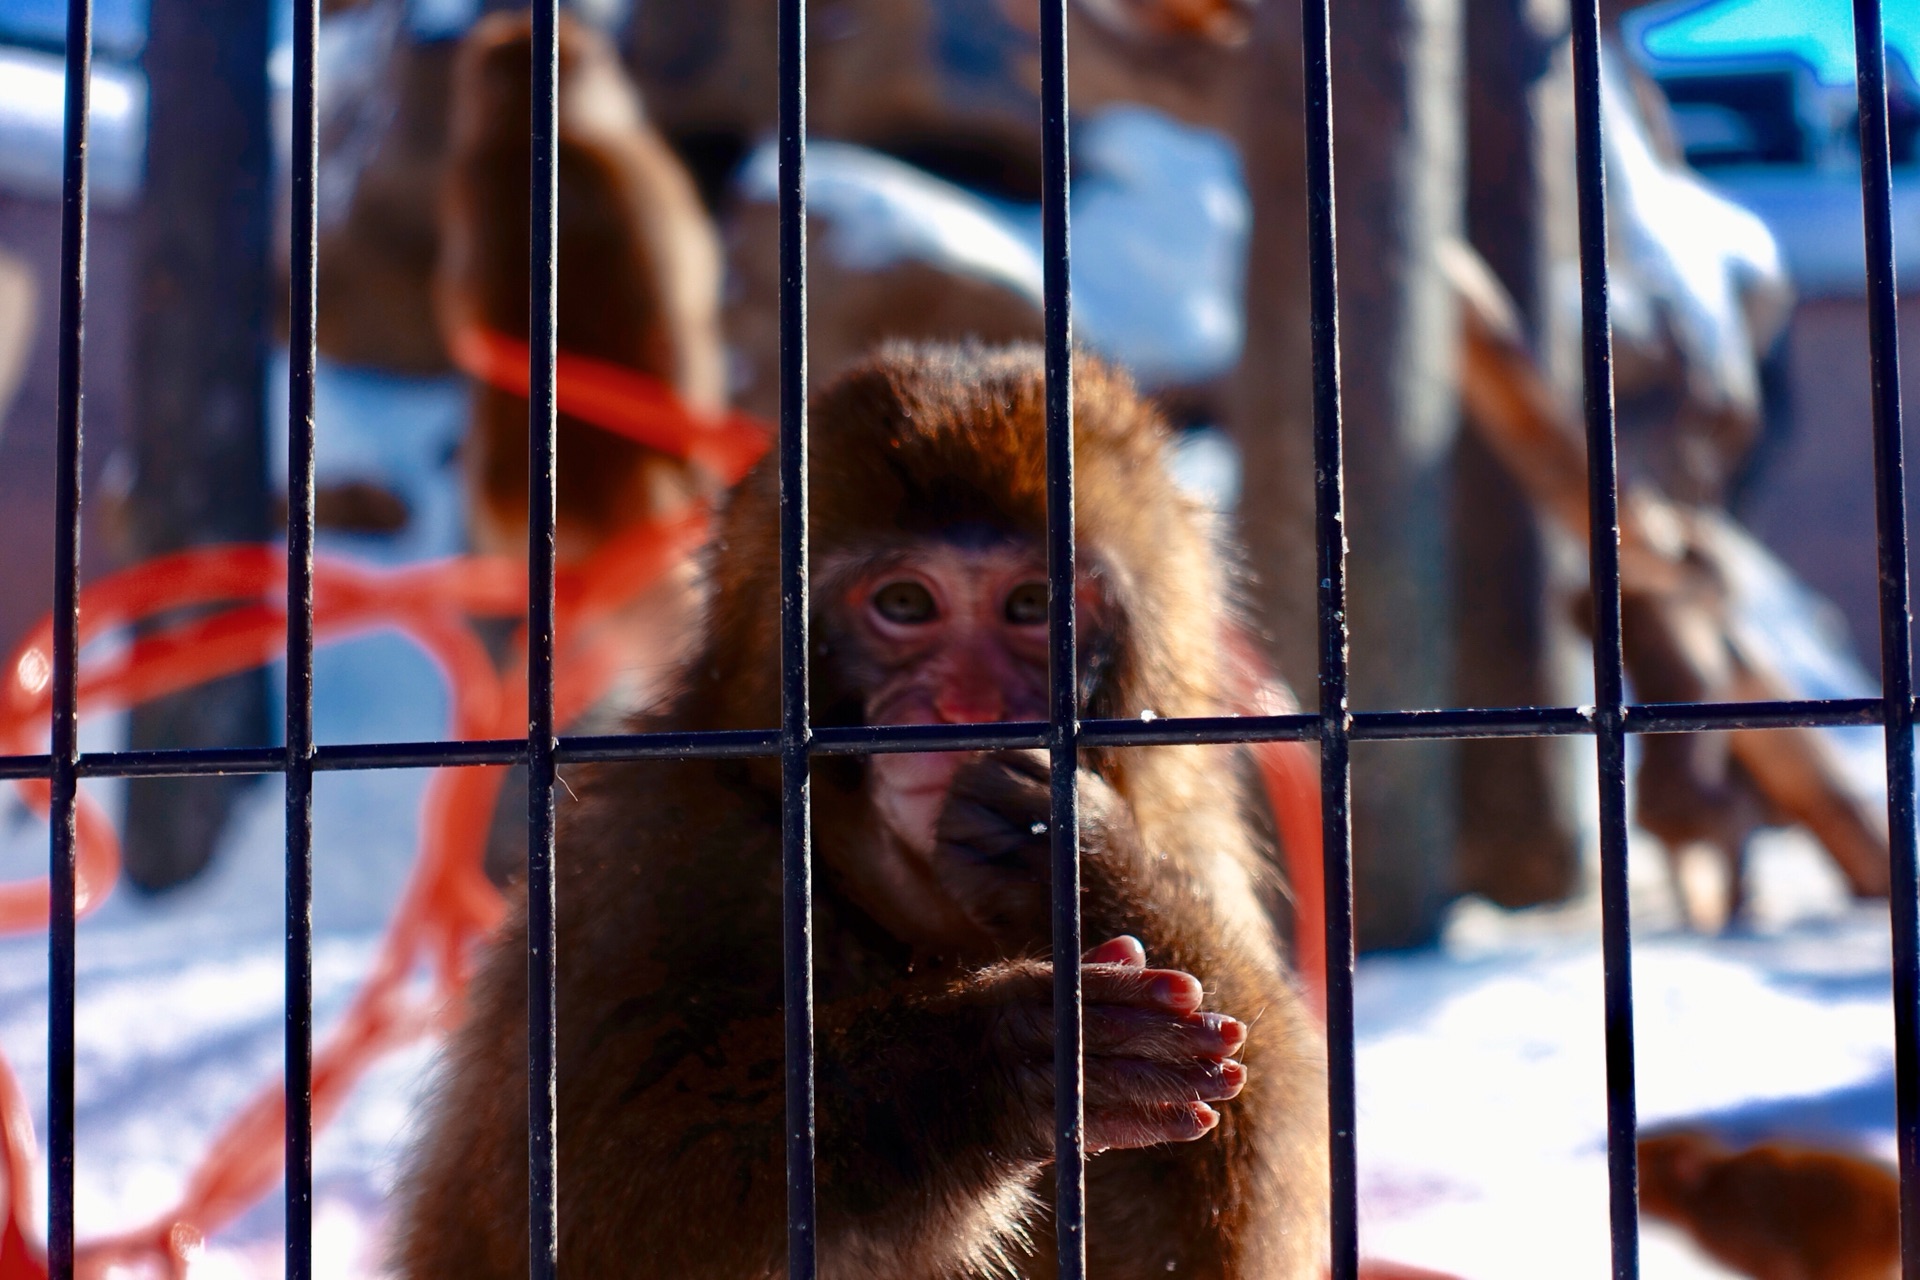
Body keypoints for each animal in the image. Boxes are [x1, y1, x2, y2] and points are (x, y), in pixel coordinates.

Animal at [397, 343, 1328, 1280]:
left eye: (1033, 607)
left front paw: (1082, 859)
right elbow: (578, 1203)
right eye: (906, 605)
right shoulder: (645, 860)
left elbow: (1207, 1242)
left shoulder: (1195, 838)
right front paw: (992, 1057)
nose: (967, 709)